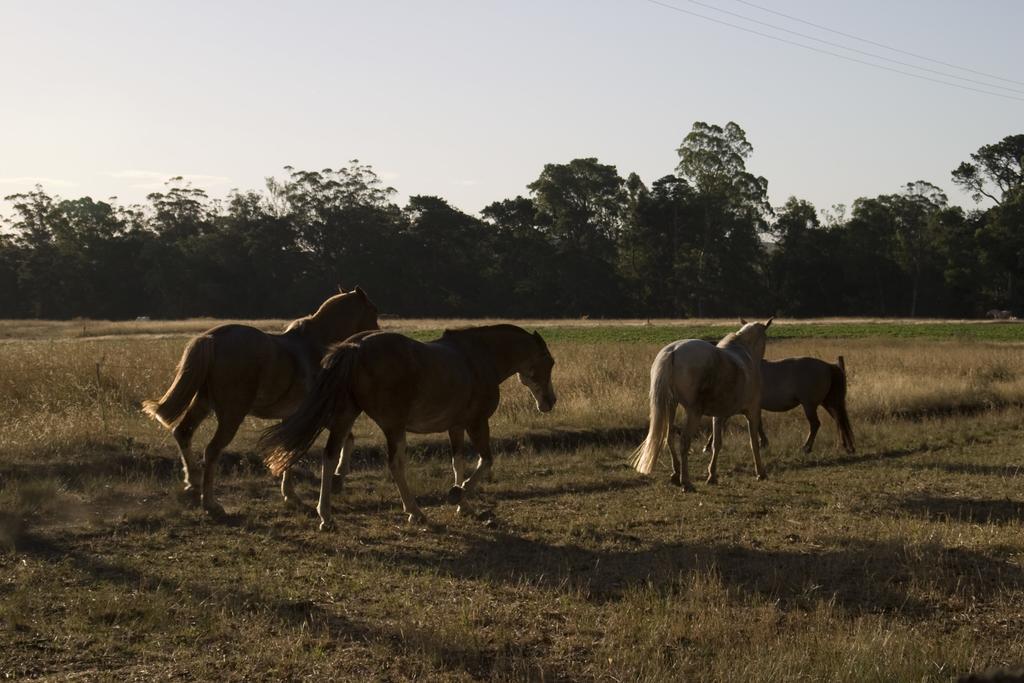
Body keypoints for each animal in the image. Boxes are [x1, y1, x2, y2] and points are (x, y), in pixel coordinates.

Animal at [141, 286, 380, 516]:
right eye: (373, 311)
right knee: (211, 450)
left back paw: (193, 481)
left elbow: (287, 451)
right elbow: (344, 439)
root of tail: (212, 339)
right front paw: (338, 477)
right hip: (231, 415)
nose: (375, 335)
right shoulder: (315, 413)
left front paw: (291, 495)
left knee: (183, 433)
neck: (316, 347)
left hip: (203, 403)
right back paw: (210, 504)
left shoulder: (293, 417)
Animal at [260, 325, 557, 528]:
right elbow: (486, 461)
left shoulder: (456, 426)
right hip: (393, 425)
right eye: (549, 362)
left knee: (330, 455)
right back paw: (415, 511)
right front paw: (456, 495)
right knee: (395, 463)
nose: (550, 401)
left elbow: (458, 463)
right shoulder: (477, 423)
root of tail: (355, 347)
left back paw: (326, 515)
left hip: (347, 415)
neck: (479, 359)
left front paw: (464, 505)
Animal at [626, 317, 770, 489]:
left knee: (669, 436)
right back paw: (686, 482)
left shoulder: (719, 416)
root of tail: (673, 351)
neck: (744, 355)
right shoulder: (752, 412)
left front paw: (712, 475)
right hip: (693, 413)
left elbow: (716, 444)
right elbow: (753, 443)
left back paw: (676, 473)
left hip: (671, 406)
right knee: (684, 441)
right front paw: (761, 473)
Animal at [704, 356, 856, 456]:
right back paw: (847, 447)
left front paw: (708, 446)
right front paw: (763, 443)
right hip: (828, 403)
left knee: (815, 424)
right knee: (839, 421)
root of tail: (828, 366)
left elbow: (721, 424)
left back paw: (806, 447)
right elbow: (758, 424)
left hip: (810, 405)